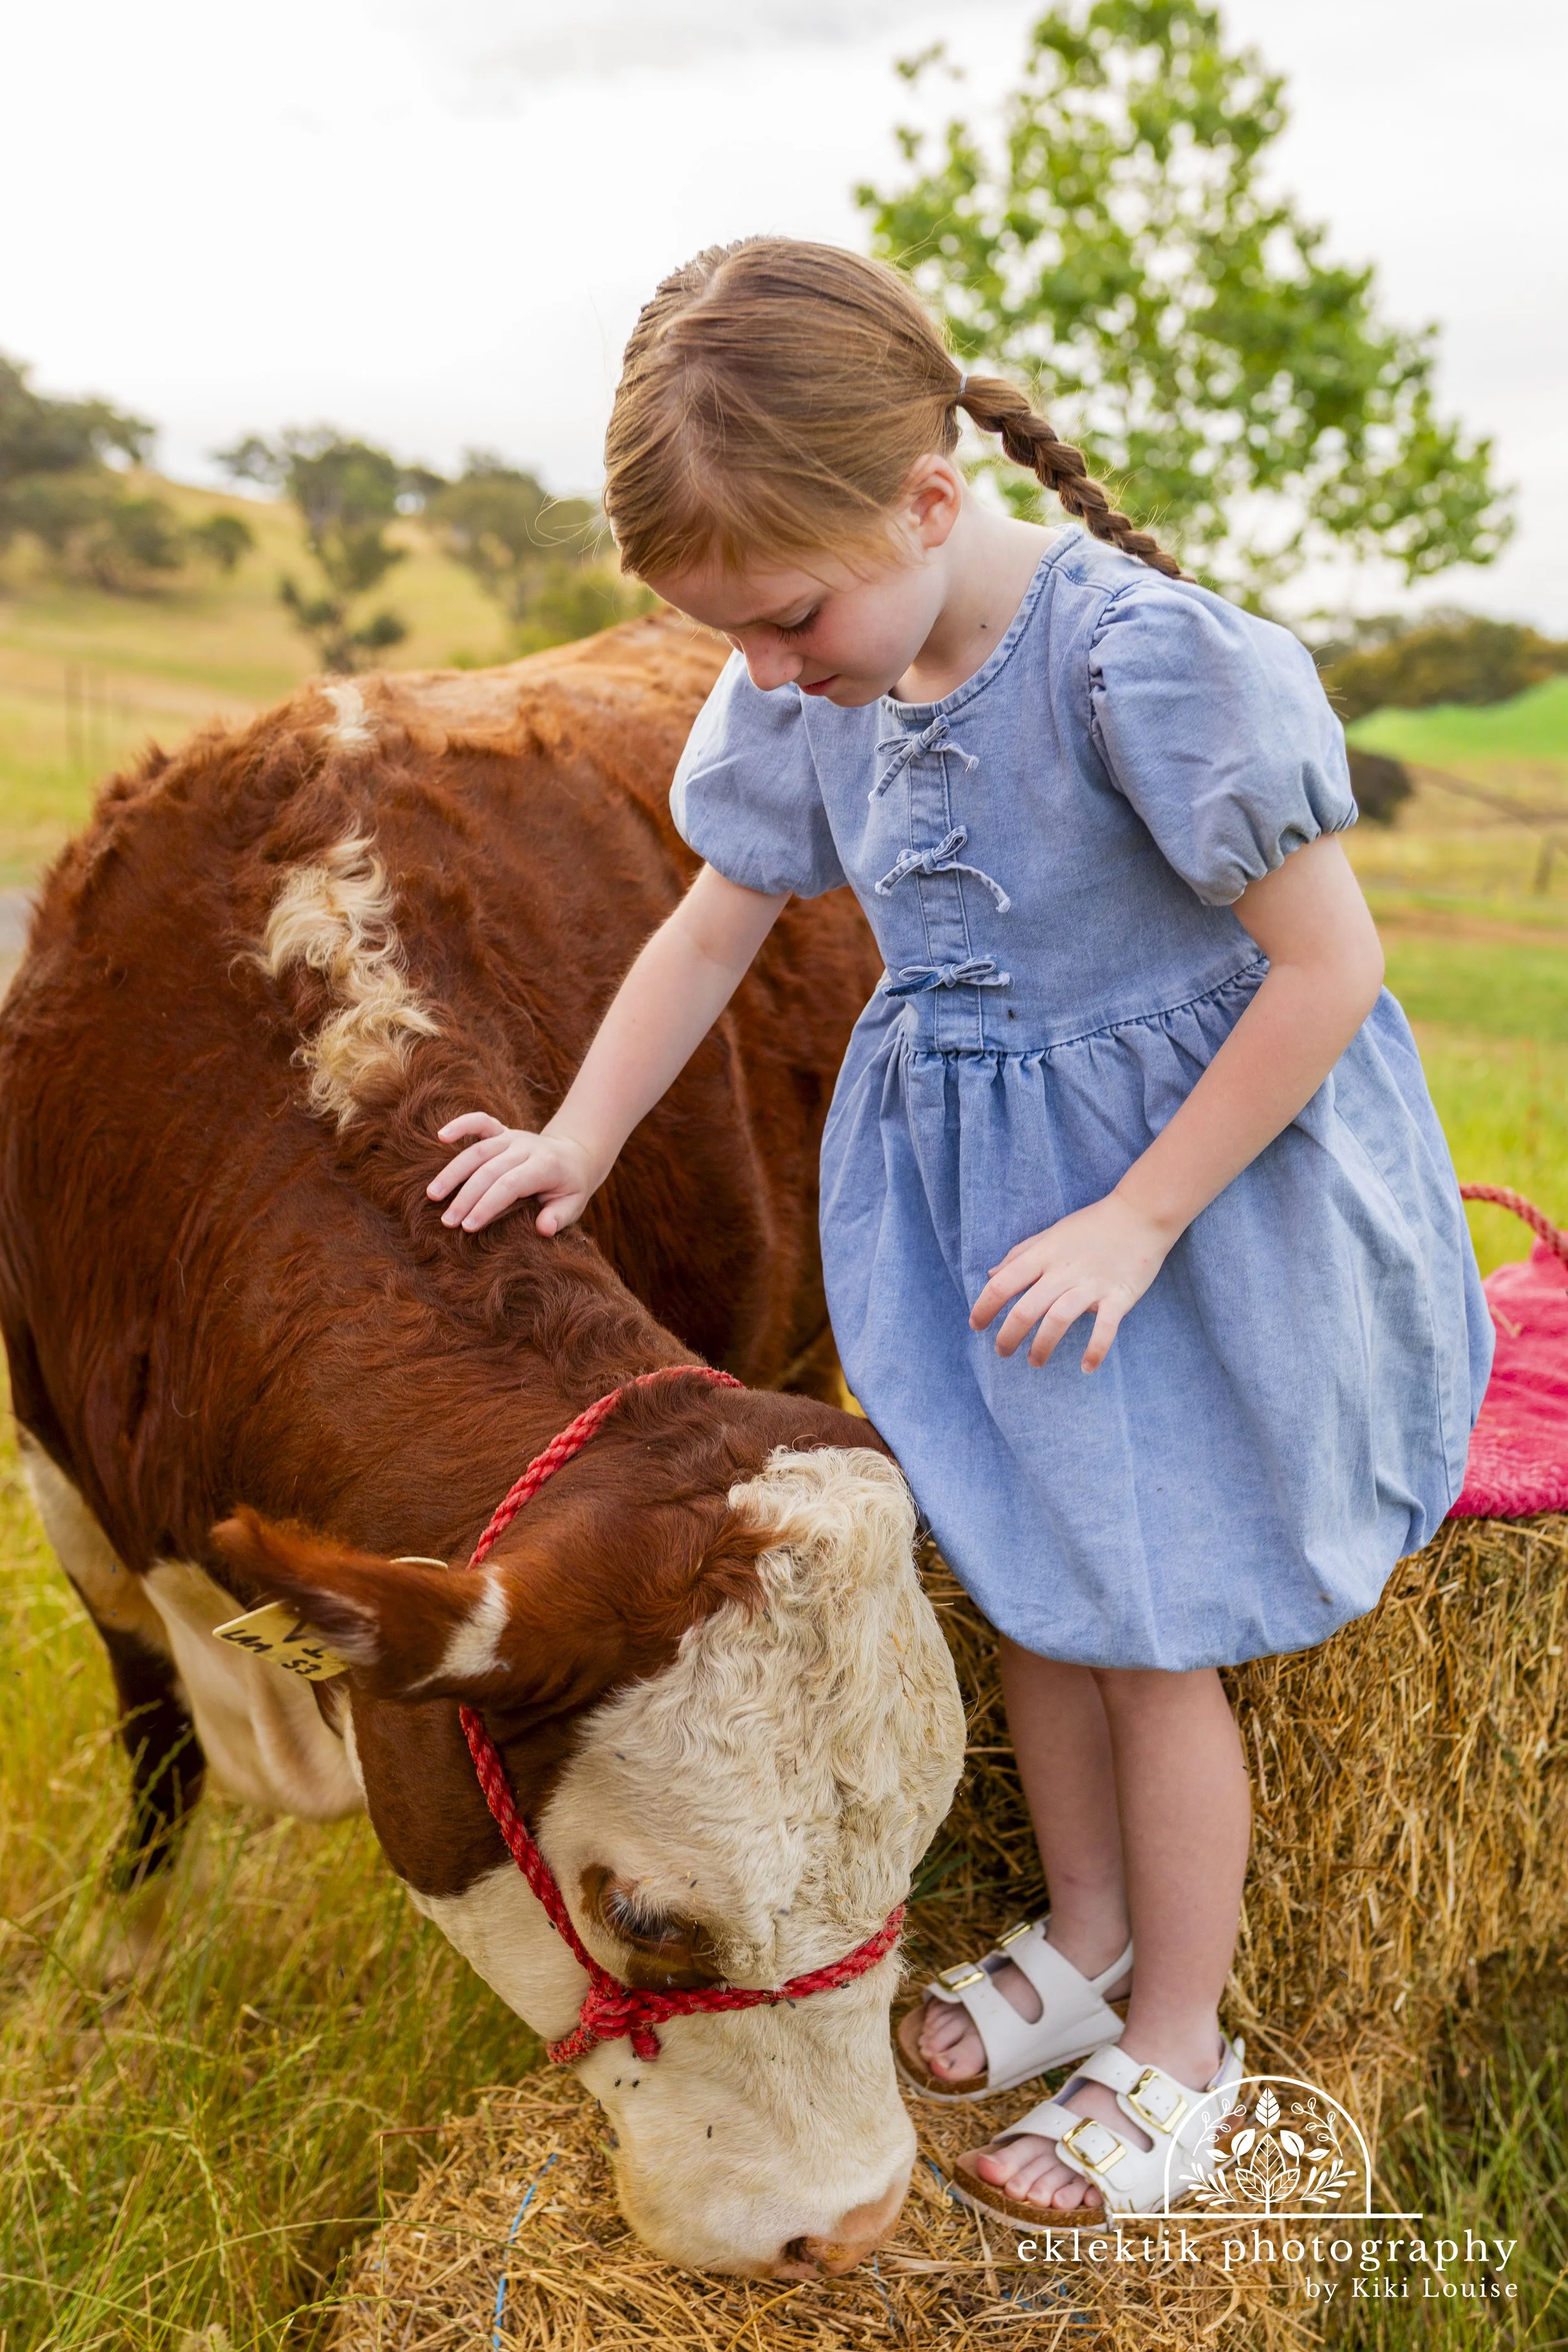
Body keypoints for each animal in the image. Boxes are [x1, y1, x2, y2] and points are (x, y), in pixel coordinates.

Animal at [0, 616, 966, 2278]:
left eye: (919, 1843)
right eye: (642, 1917)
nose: (850, 2224)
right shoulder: (78, 1512)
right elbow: (155, 1773)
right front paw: (110, 2002)